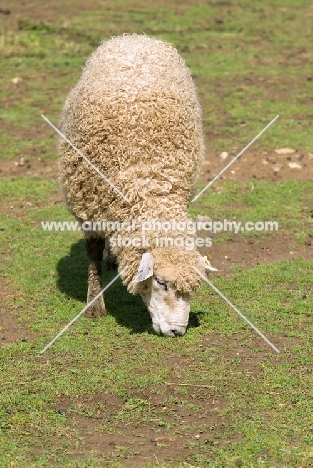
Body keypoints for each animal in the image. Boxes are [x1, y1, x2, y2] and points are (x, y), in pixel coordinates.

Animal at [58, 34, 210, 338]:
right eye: (161, 282)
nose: (177, 331)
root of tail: (136, 38)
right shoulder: (88, 207)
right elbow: (92, 253)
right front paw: (94, 304)